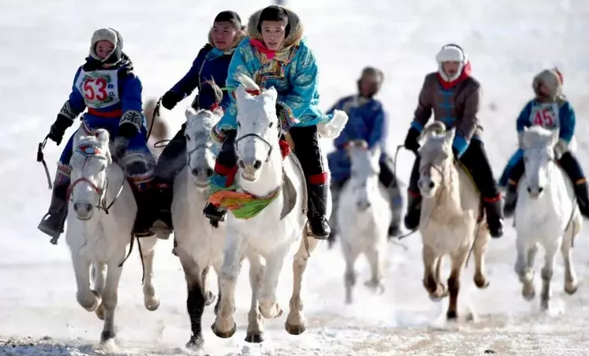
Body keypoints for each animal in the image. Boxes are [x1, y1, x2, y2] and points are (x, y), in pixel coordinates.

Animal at [65, 127, 158, 344]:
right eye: (71, 165)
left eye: (101, 167)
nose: (82, 207)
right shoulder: (78, 254)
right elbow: (84, 296)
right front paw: (95, 301)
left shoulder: (117, 257)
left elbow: (110, 297)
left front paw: (107, 336)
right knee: (100, 268)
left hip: (146, 238)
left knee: (148, 255)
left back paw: (151, 299)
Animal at [212, 76, 344, 340]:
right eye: (239, 122)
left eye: (271, 122)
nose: (250, 164)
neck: (261, 199)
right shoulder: (237, 235)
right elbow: (230, 273)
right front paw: (224, 323)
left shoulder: (281, 245)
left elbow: (268, 292)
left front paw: (274, 309)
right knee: (256, 274)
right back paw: (255, 328)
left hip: (308, 238)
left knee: (299, 265)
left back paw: (294, 319)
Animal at [336, 139, 390, 304]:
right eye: (353, 171)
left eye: (376, 172)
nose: (363, 204)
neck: (362, 223)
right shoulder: (348, 248)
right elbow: (349, 279)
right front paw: (349, 304)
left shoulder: (375, 248)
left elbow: (375, 281)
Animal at [416, 122, 490, 320]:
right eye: (421, 153)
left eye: (445, 155)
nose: (426, 184)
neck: (447, 213)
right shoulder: (429, 246)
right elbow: (430, 281)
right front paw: (438, 292)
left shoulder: (462, 248)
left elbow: (454, 282)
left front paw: (452, 313)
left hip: (483, 230)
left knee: (480, 249)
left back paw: (482, 280)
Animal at [516, 126, 580, 310]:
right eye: (526, 158)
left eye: (550, 158)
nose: (535, 190)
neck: (539, 210)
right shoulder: (522, 237)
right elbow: (522, 270)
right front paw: (528, 291)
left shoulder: (553, 241)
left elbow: (547, 272)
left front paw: (545, 301)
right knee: (533, 251)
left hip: (569, 229)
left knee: (566, 251)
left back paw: (570, 284)